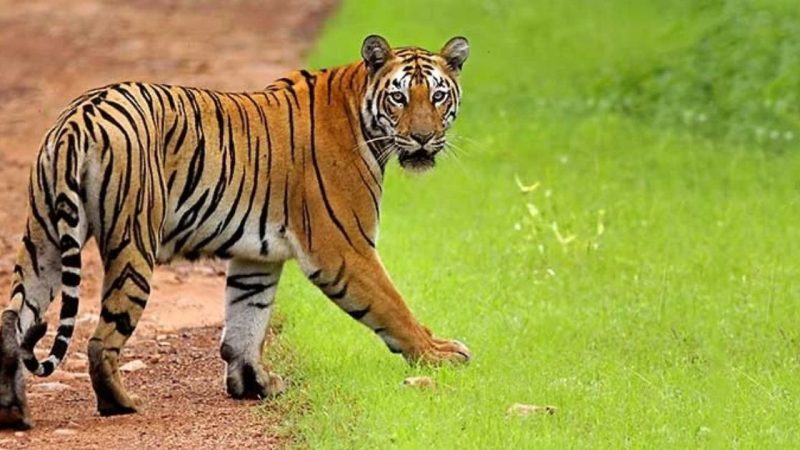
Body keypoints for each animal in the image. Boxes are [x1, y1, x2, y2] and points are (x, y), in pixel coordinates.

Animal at [0, 34, 470, 429]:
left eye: (438, 95)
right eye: (398, 97)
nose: (423, 138)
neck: (362, 114)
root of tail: (79, 116)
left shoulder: (256, 256)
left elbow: (246, 320)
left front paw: (254, 384)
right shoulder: (343, 248)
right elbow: (393, 306)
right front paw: (439, 354)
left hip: (44, 241)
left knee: (14, 321)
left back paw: (13, 412)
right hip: (133, 242)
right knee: (100, 340)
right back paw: (121, 403)